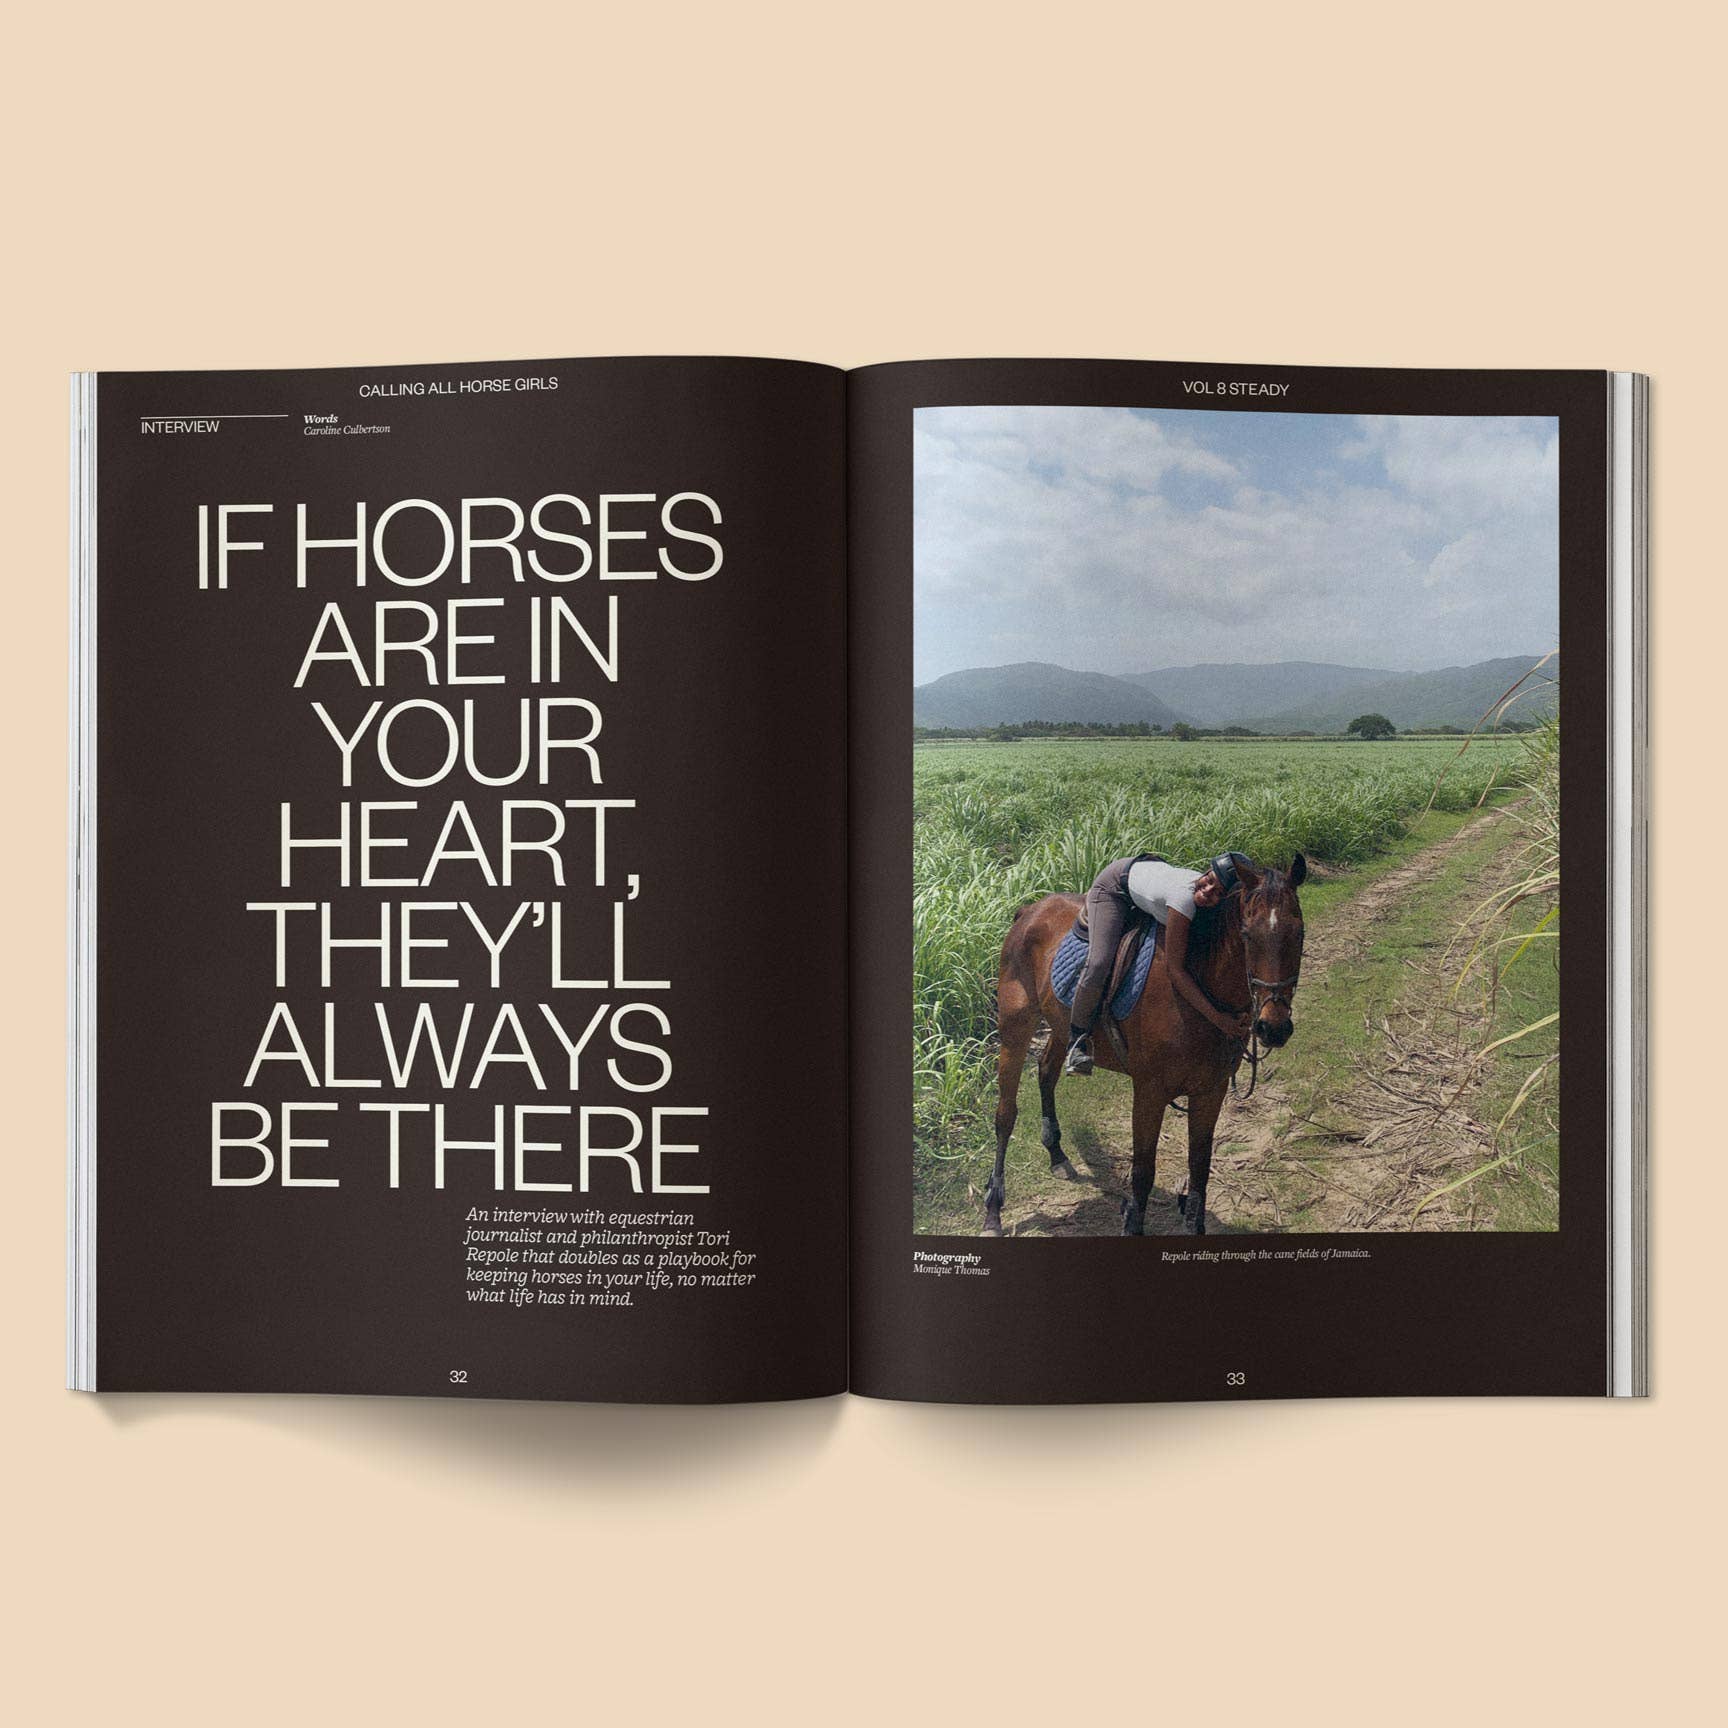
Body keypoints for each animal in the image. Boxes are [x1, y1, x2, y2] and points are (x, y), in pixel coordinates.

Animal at [983, 856, 1308, 1237]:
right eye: (1246, 935)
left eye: (1298, 933)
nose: (1273, 1027)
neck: (1197, 994)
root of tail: (1029, 911)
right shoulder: (1150, 1092)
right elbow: (1142, 1170)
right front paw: (1133, 1224)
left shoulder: (1209, 1092)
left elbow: (1200, 1166)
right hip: (1015, 1027)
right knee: (1005, 1115)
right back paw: (993, 1209)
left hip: (1061, 1026)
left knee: (1047, 1072)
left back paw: (1058, 1155)